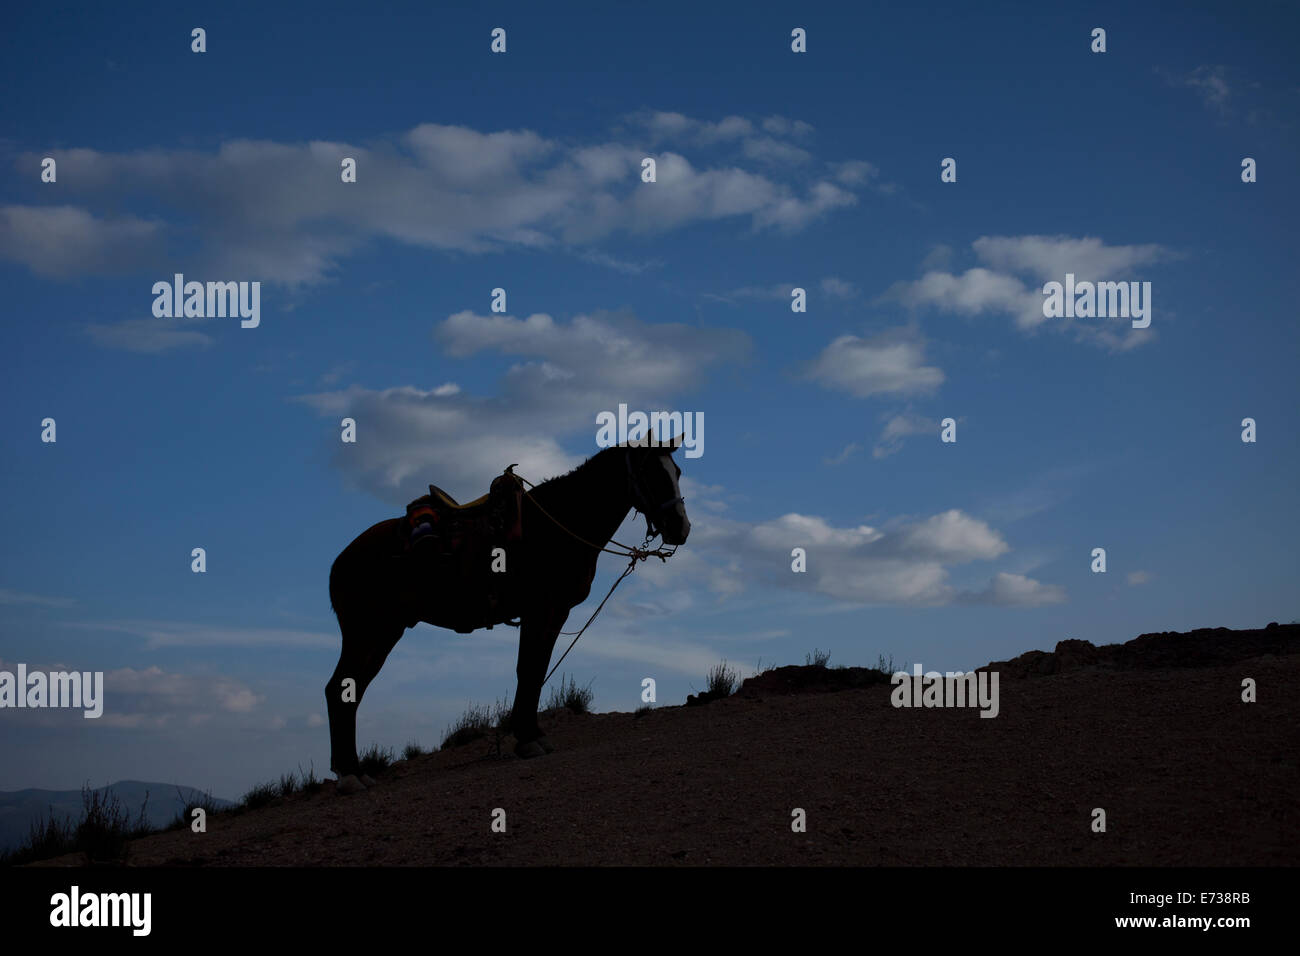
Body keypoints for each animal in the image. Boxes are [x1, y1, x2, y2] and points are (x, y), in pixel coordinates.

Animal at [324, 436, 690, 794]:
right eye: (652, 473)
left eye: (677, 472)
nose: (681, 528)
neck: (558, 524)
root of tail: (341, 559)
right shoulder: (539, 610)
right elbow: (528, 669)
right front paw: (527, 740)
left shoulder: (554, 613)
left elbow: (536, 668)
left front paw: (532, 734)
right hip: (365, 631)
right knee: (340, 689)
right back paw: (350, 775)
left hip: (384, 632)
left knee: (352, 690)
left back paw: (352, 771)